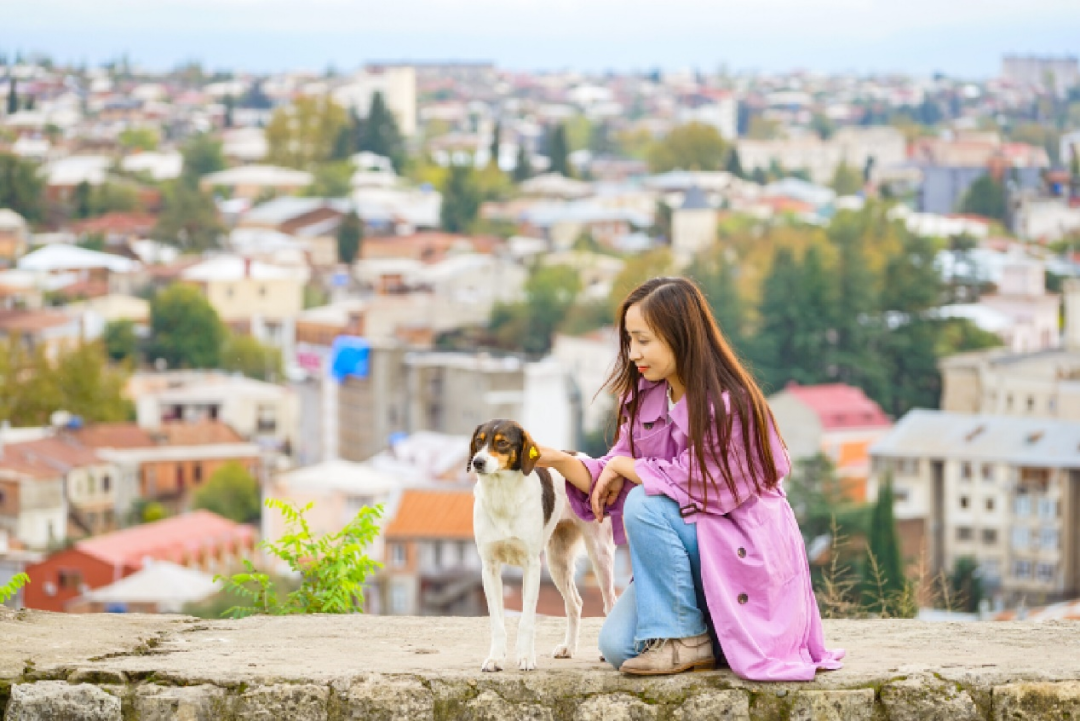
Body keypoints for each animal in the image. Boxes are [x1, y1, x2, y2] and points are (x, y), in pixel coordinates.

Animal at [470, 418, 622, 673]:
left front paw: (525, 657)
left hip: (600, 554)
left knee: (610, 601)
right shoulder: (489, 567)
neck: (503, 496)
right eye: (479, 442)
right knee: (575, 603)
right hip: (557, 561)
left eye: (502, 443)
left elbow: (527, 620)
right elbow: (497, 622)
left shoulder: (531, 566)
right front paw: (495, 658)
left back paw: (604, 651)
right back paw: (568, 647)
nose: (477, 462)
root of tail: (581, 456)